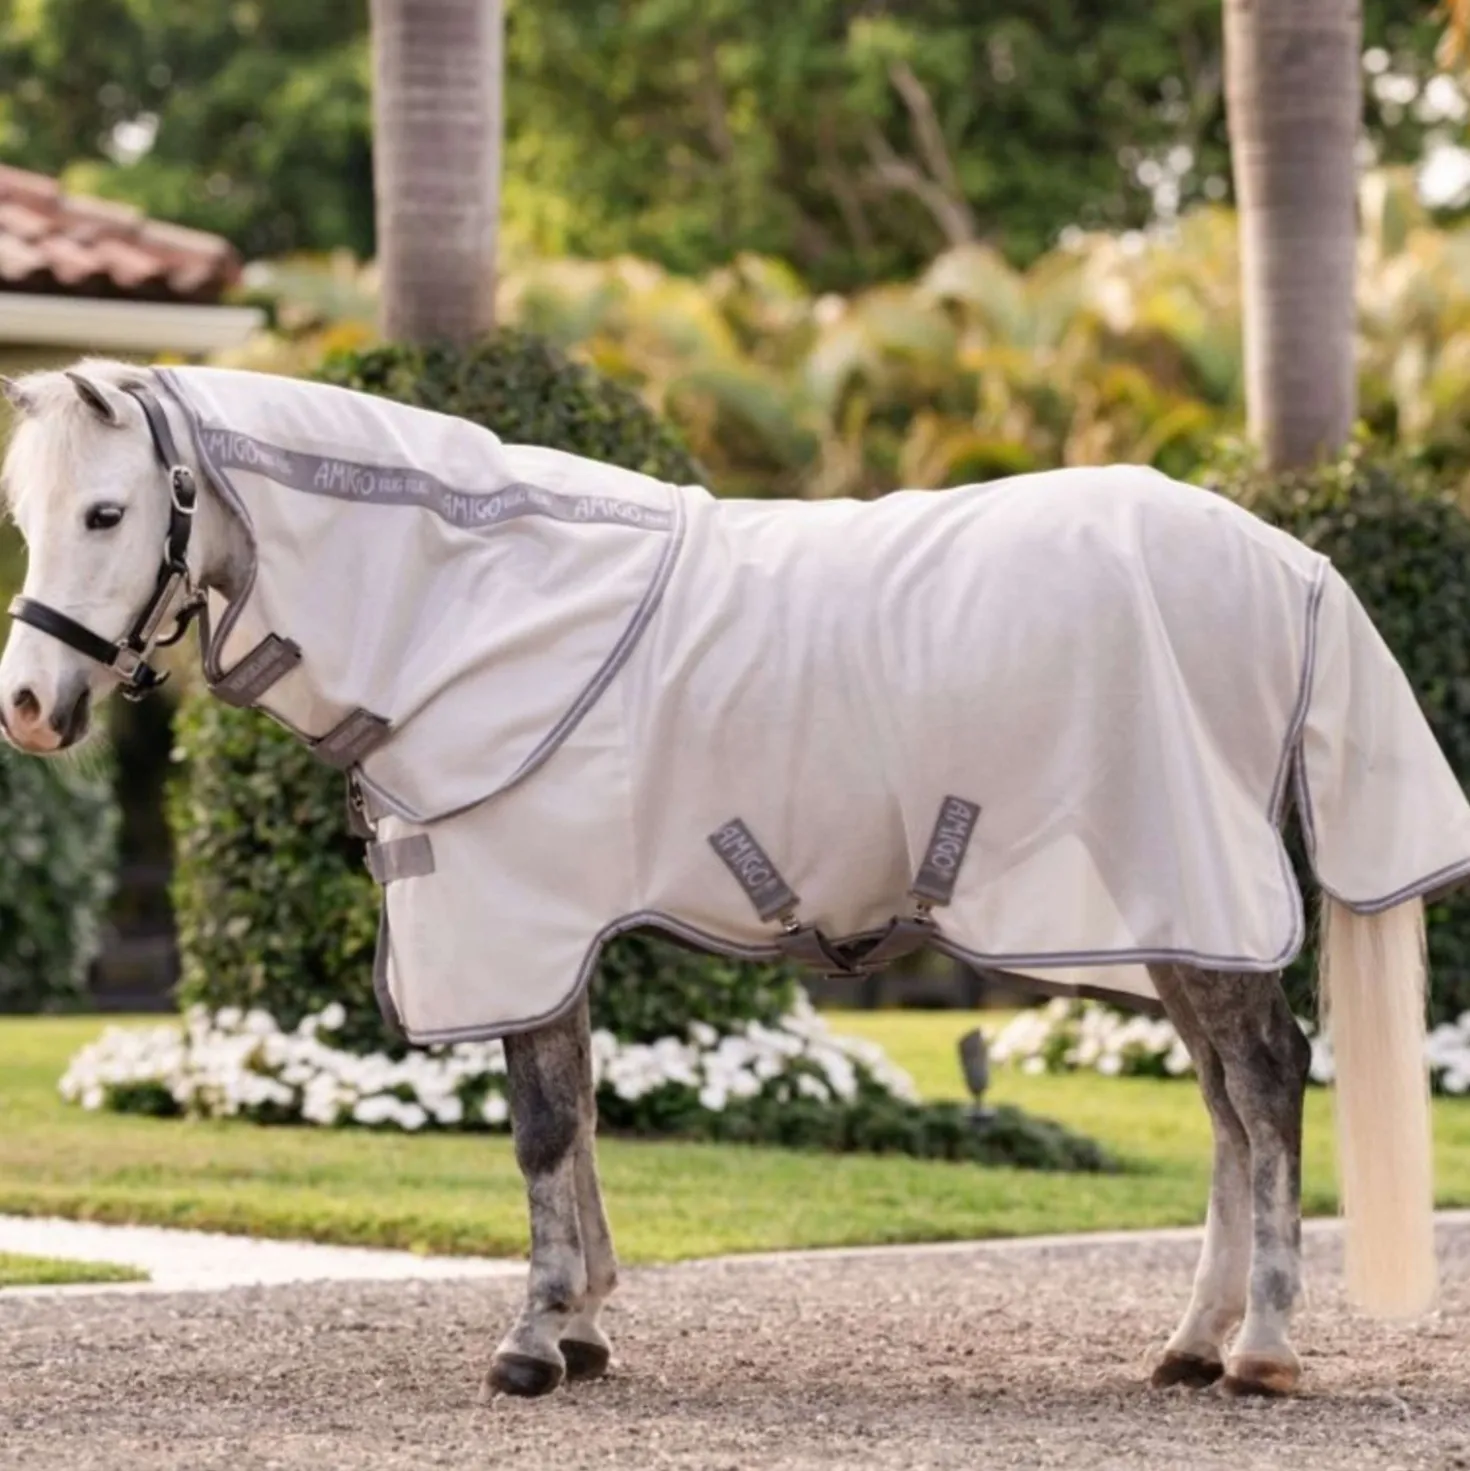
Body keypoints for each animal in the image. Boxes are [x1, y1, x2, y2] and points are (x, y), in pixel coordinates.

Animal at [1, 358, 1462, 1401]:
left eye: (107, 511)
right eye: (26, 515)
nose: (28, 704)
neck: (470, 599)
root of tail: (1287, 565)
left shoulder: (520, 916)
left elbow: (540, 1128)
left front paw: (534, 1338)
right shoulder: (558, 931)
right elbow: (581, 1113)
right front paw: (585, 1325)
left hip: (1194, 898)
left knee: (1264, 1084)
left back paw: (1260, 1348)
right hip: (1168, 915)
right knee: (1226, 1105)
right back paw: (1191, 1340)